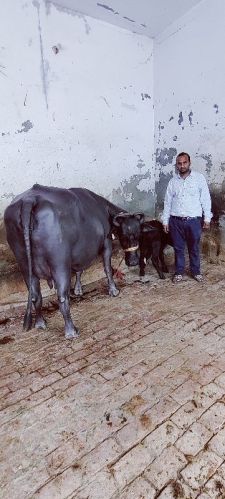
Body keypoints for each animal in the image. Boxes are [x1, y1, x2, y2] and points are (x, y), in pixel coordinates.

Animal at [4, 187, 143, 340]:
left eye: (138, 233)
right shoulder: (106, 242)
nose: (134, 261)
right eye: (124, 235)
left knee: (35, 295)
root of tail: (29, 199)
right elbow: (107, 267)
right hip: (59, 264)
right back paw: (71, 331)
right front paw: (114, 290)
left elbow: (79, 270)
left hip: (23, 263)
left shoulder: (79, 251)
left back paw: (40, 323)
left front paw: (78, 290)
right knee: (62, 297)